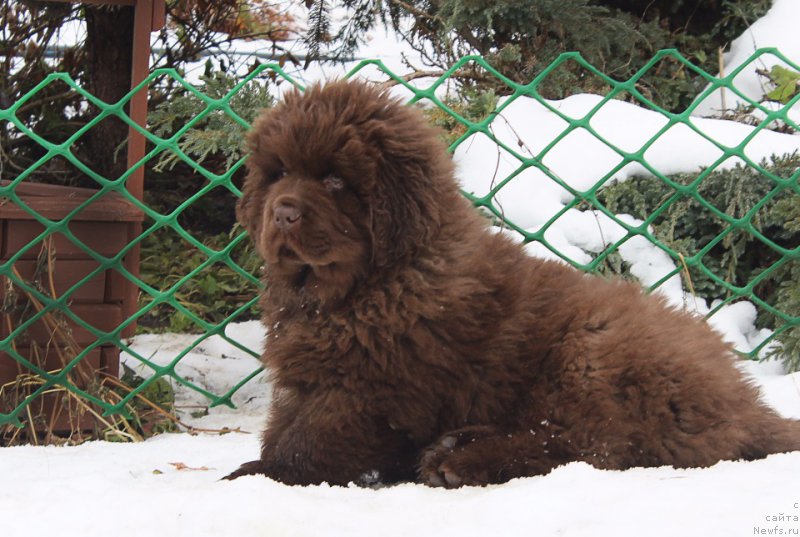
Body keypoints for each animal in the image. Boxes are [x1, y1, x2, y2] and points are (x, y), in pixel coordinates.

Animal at [227, 78, 800, 486]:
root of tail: (746, 401)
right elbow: (284, 428)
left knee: (592, 445)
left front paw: (256, 475)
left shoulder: (371, 388)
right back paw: (454, 445)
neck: (360, 288)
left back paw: (462, 461)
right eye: (278, 173)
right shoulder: (308, 380)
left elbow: (309, 439)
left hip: (592, 352)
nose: (282, 213)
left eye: (334, 180)